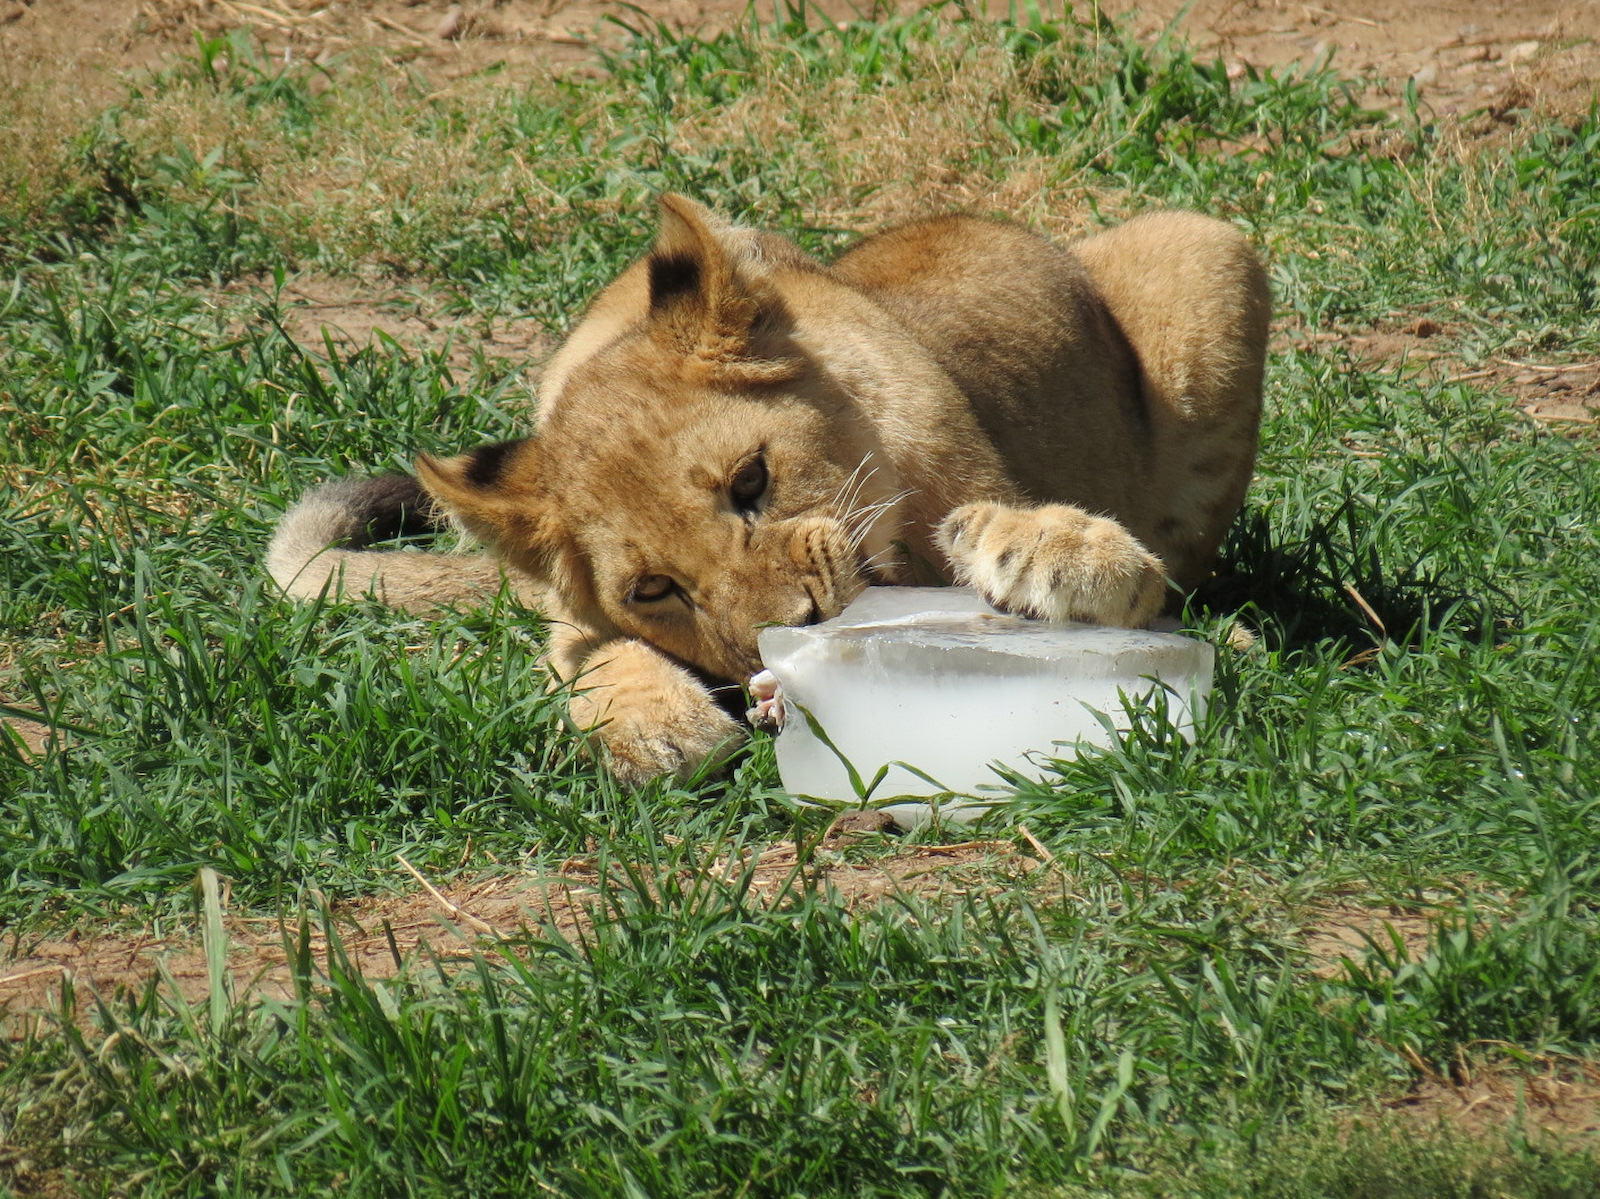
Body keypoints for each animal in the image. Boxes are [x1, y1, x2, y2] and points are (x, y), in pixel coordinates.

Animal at [268, 194, 1269, 785]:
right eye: (653, 588)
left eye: (751, 481)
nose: (797, 623)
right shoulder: (566, 617)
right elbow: (591, 657)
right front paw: (650, 725)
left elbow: (1085, 563)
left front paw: (1049, 551)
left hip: (1209, 246)